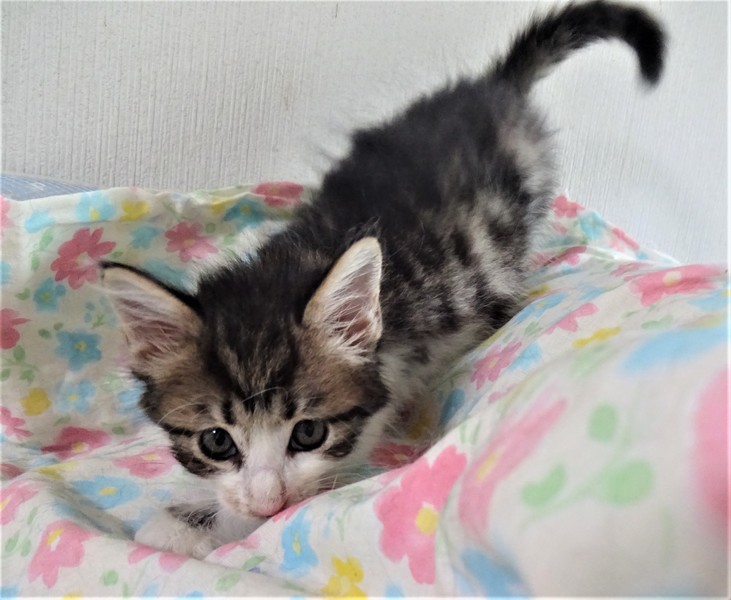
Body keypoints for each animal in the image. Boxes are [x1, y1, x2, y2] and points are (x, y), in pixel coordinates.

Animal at [101, 0, 664, 558]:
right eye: (216, 440)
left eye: (308, 433)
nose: (265, 501)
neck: (290, 262)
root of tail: (494, 86)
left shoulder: (381, 391)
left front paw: (201, 525)